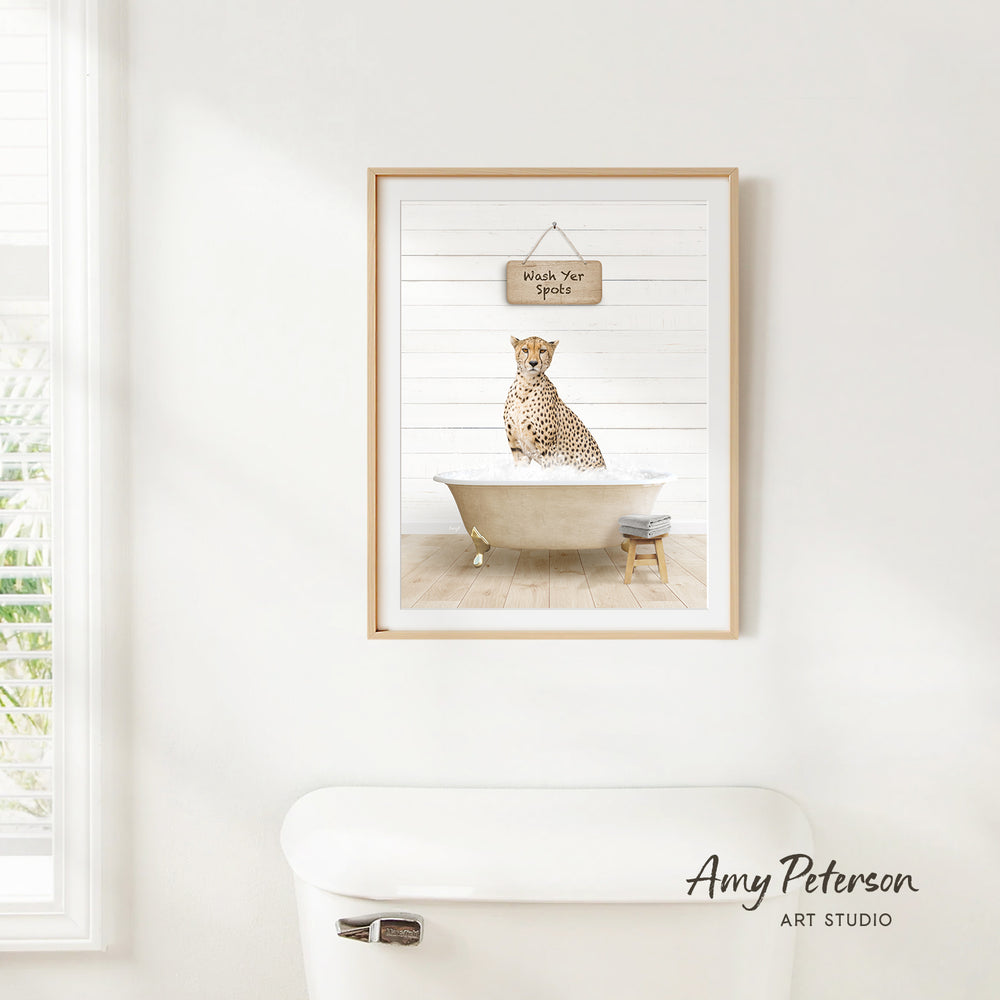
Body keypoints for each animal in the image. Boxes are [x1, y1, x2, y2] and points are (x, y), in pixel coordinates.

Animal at [502, 335, 606, 470]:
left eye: (542, 350)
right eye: (525, 350)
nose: (533, 363)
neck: (525, 385)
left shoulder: (548, 451)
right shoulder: (517, 448)